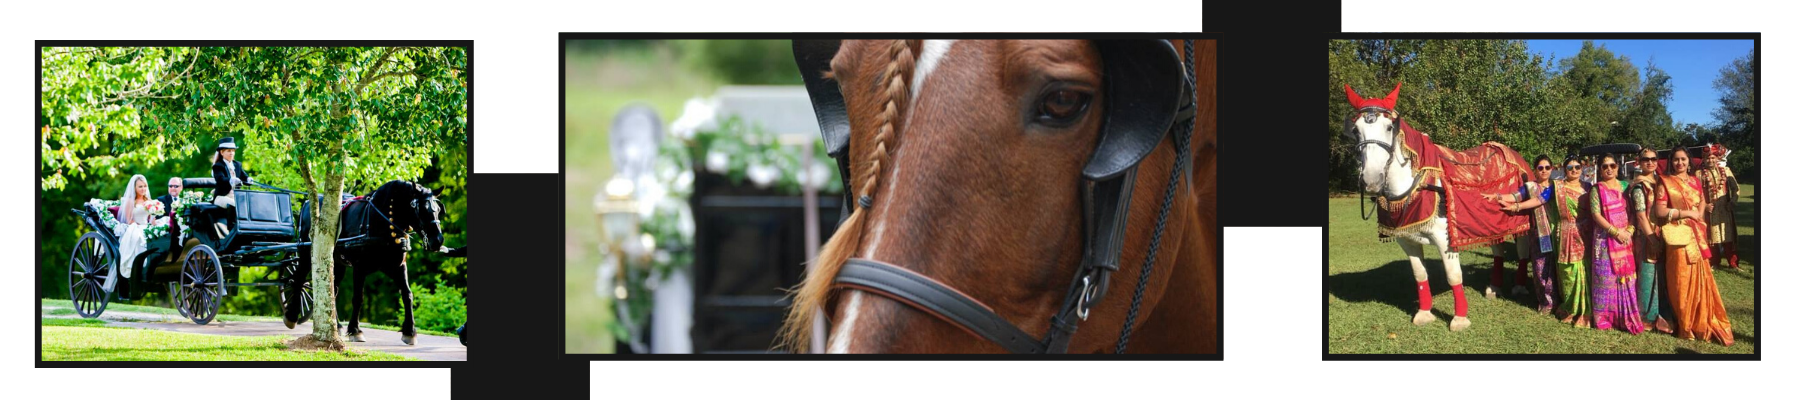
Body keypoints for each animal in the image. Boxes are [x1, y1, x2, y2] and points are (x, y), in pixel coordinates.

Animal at [1341, 82, 1532, 332]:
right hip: (1490, 223)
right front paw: (1424, 313)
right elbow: (1419, 274)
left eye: (1389, 127)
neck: (1415, 186)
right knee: (1498, 249)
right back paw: (1494, 287)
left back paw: (1519, 286)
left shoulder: (1446, 239)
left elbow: (1454, 275)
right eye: (1356, 130)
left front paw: (1459, 319)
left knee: (1522, 251)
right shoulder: (1407, 239)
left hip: (1521, 220)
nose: (1372, 180)